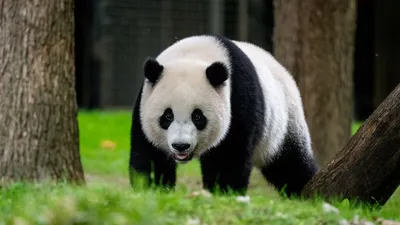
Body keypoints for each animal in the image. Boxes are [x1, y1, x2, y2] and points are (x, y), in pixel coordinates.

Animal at [130, 33, 318, 197]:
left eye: (197, 116)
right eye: (167, 116)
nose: (181, 146)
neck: (193, 55)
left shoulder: (239, 100)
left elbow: (228, 156)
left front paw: (224, 192)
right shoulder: (143, 104)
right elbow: (150, 154)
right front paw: (152, 189)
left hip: (285, 120)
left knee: (290, 164)